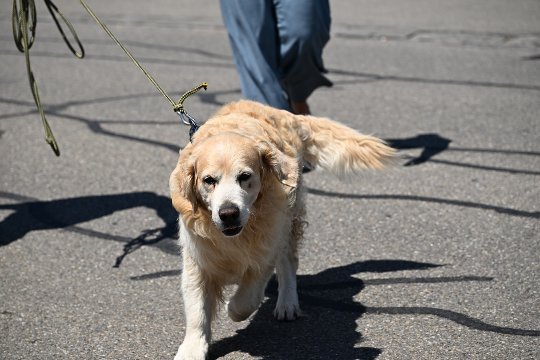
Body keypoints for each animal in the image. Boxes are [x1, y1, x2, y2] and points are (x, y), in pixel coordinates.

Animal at [171, 100, 394, 358]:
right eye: (208, 181)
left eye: (244, 176)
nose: (228, 213)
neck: (239, 234)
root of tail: (285, 114)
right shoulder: (198, 259)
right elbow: (197, 310)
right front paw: (192, 349)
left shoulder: (265, 248)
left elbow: (246, 299)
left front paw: (231, 308)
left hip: (289, 221)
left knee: (288, 263)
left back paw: (287, 303)